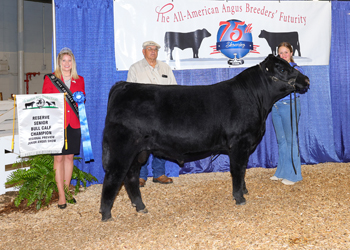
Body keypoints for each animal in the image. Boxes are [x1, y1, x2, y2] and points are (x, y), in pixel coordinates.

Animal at [99, 54, 308, 221]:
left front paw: (244, 191)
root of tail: (124, 85)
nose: (306, 80)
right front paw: (240, 198)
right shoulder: (239, 144)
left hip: (138, 152)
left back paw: (141, 207)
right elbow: (237, 170)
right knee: (113, 177)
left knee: (131, 177)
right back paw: (106, 215)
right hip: (123, 149)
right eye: (282, 68)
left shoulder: (246, 146)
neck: (256, 99)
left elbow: (243, 170)